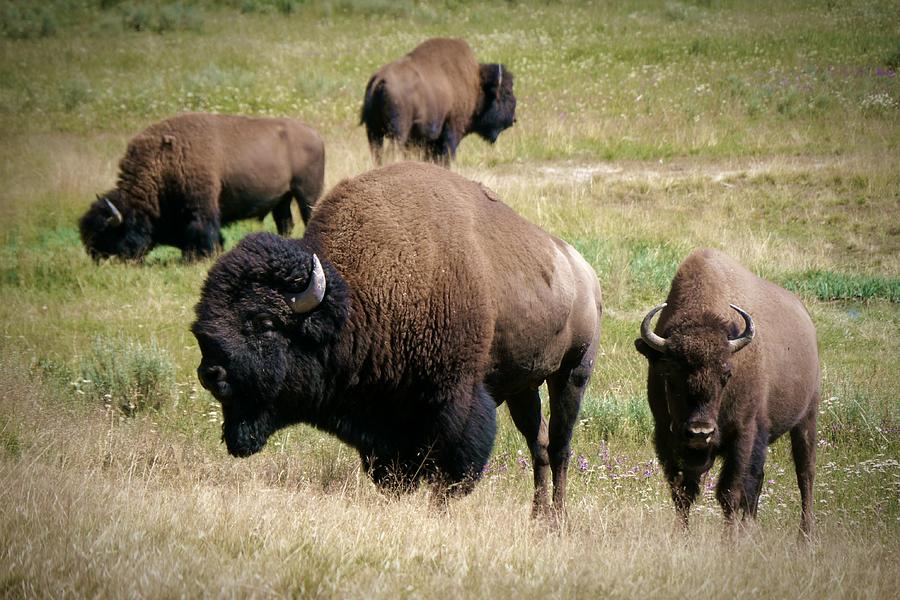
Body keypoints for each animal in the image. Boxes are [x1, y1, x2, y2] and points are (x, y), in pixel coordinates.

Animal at [77, 113, 324, 262]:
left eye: (107, 232)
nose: (97, 258)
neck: (161, 164)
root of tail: (315, 135)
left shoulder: (201, 206)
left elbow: (203, 231)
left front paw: (203, 256)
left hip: (306, 194)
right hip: (282, 199)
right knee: (285, 223)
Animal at [191, 161, 600, 516]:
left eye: (264, 323)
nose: (211, 372)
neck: (358, 297)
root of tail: (583, 269)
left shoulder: (456, 403)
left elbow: (449, 474)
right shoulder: (387, 425)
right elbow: (396, 476)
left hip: (572, 373)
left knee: (560, 446)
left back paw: (557, 518)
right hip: (523, 387)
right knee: (539, 444)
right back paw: (538, 517)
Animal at [356, 37, 512, 165]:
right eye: (507, 93)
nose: (513, 119)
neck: (477, 82)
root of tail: (379, 79)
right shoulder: (452, 131)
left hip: (373, 132)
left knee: (377, 154)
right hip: (397, 133)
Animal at [632, 248, 824, 540]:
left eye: (726, 375)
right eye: (670, 375)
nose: (700, 432)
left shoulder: (742, 434)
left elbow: (730, 493)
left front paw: (729, 542)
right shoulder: (667, 437)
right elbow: (682, 492)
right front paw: (682, 537)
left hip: (806, 418)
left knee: (805, 474)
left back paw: (805, 535)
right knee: (758, 482)